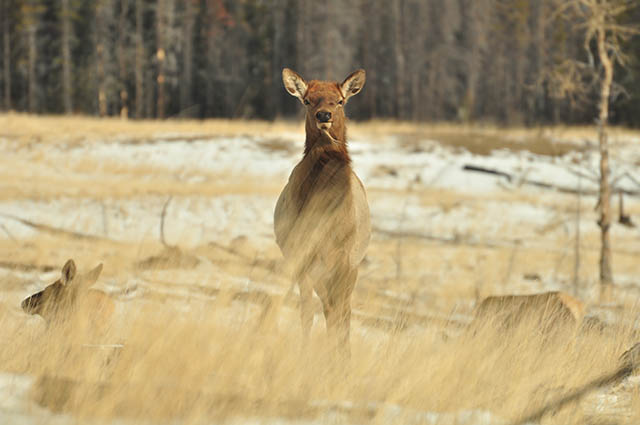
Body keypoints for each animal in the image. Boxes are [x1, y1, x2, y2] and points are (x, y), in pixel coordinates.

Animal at [274, 68, 371, 359]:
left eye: (340, 101)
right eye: (307, 100)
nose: (324, 116)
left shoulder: (345, 259)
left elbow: (340, 312)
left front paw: (342, 357)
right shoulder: (300, 253)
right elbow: (309, 311)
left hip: (348, 266)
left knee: (341, 310)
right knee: (323, 307)